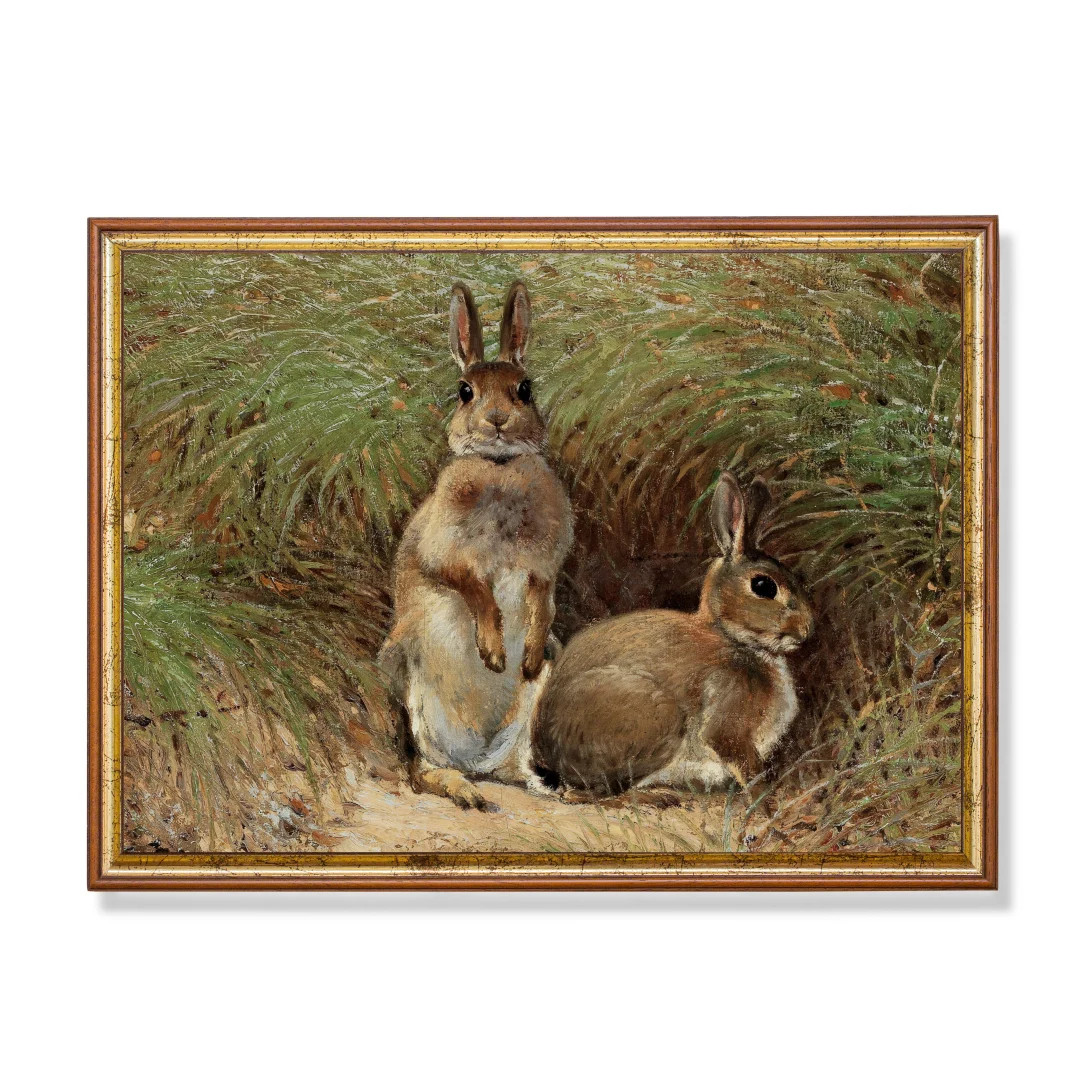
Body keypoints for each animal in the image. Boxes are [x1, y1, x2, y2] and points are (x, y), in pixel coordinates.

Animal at [378, 281, 573, 810]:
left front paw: (523, 656)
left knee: (518, 766)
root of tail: (479, 756)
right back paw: (464, 790)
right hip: (412, 686)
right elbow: (474, 587)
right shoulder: (444, 553)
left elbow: (542, 599)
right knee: (421, 768)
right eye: (465, 391)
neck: (498, 468)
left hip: (532, 704)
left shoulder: (544, 566)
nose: (498, 420)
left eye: (525, 389)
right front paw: (493, 653)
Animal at [532, 471, 813, 801]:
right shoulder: (727, 721)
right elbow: (744, 763)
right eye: (763, 586)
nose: (806, 630)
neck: (732, 638)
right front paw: (765, 796)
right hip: (659, 718)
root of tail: (547, 756)